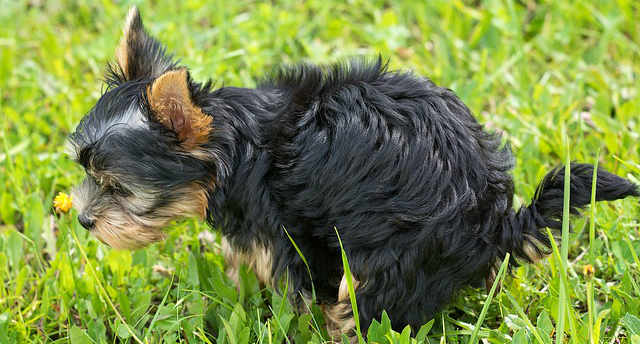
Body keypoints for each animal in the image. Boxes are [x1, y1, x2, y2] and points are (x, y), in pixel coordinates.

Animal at [67, 6, 636, 340]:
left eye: (119, 188)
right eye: (88, 174)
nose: (84, 220)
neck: (237, 145)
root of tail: (495, 222)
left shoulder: (284, 230)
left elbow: (291, 283)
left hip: (396, 256)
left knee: (367, 305)